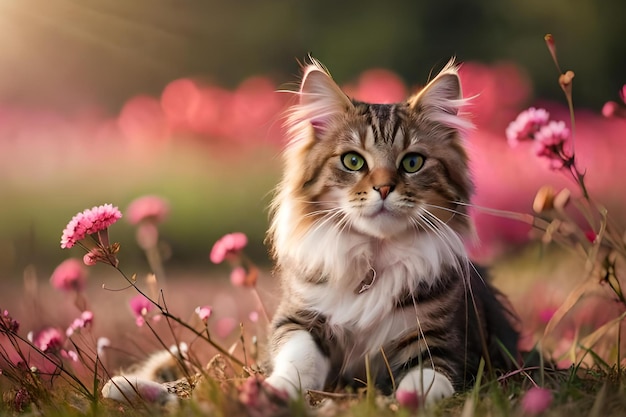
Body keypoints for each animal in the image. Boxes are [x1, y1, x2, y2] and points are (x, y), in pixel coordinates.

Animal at [260, 58, 520, 404]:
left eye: (412, 163)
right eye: (353, 161)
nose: (383, 188)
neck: (375, 253)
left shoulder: (442, 340)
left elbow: (428, 376)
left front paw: (410, 399)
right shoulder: (298, 318)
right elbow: (298, 356)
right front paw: (276, 388)